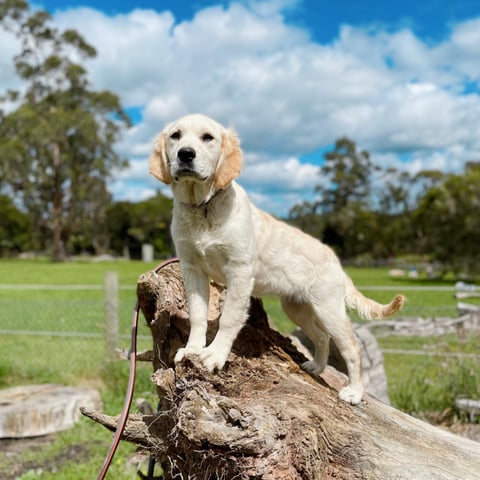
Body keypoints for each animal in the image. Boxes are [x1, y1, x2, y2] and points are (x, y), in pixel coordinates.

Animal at [148, 114, 404, 404]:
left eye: (208, 138)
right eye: (176, 136)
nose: (185, 154)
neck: (202, 208)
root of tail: (337, 264)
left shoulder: (239, 271)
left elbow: (229, 318)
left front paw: (214, 356)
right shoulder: (192, 269)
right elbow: (198, 316)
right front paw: (192, 350)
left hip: (329, 308)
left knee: (350, 346)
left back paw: (355, 392)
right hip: (297, 307)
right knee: (322, 337)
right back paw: (317, 367)